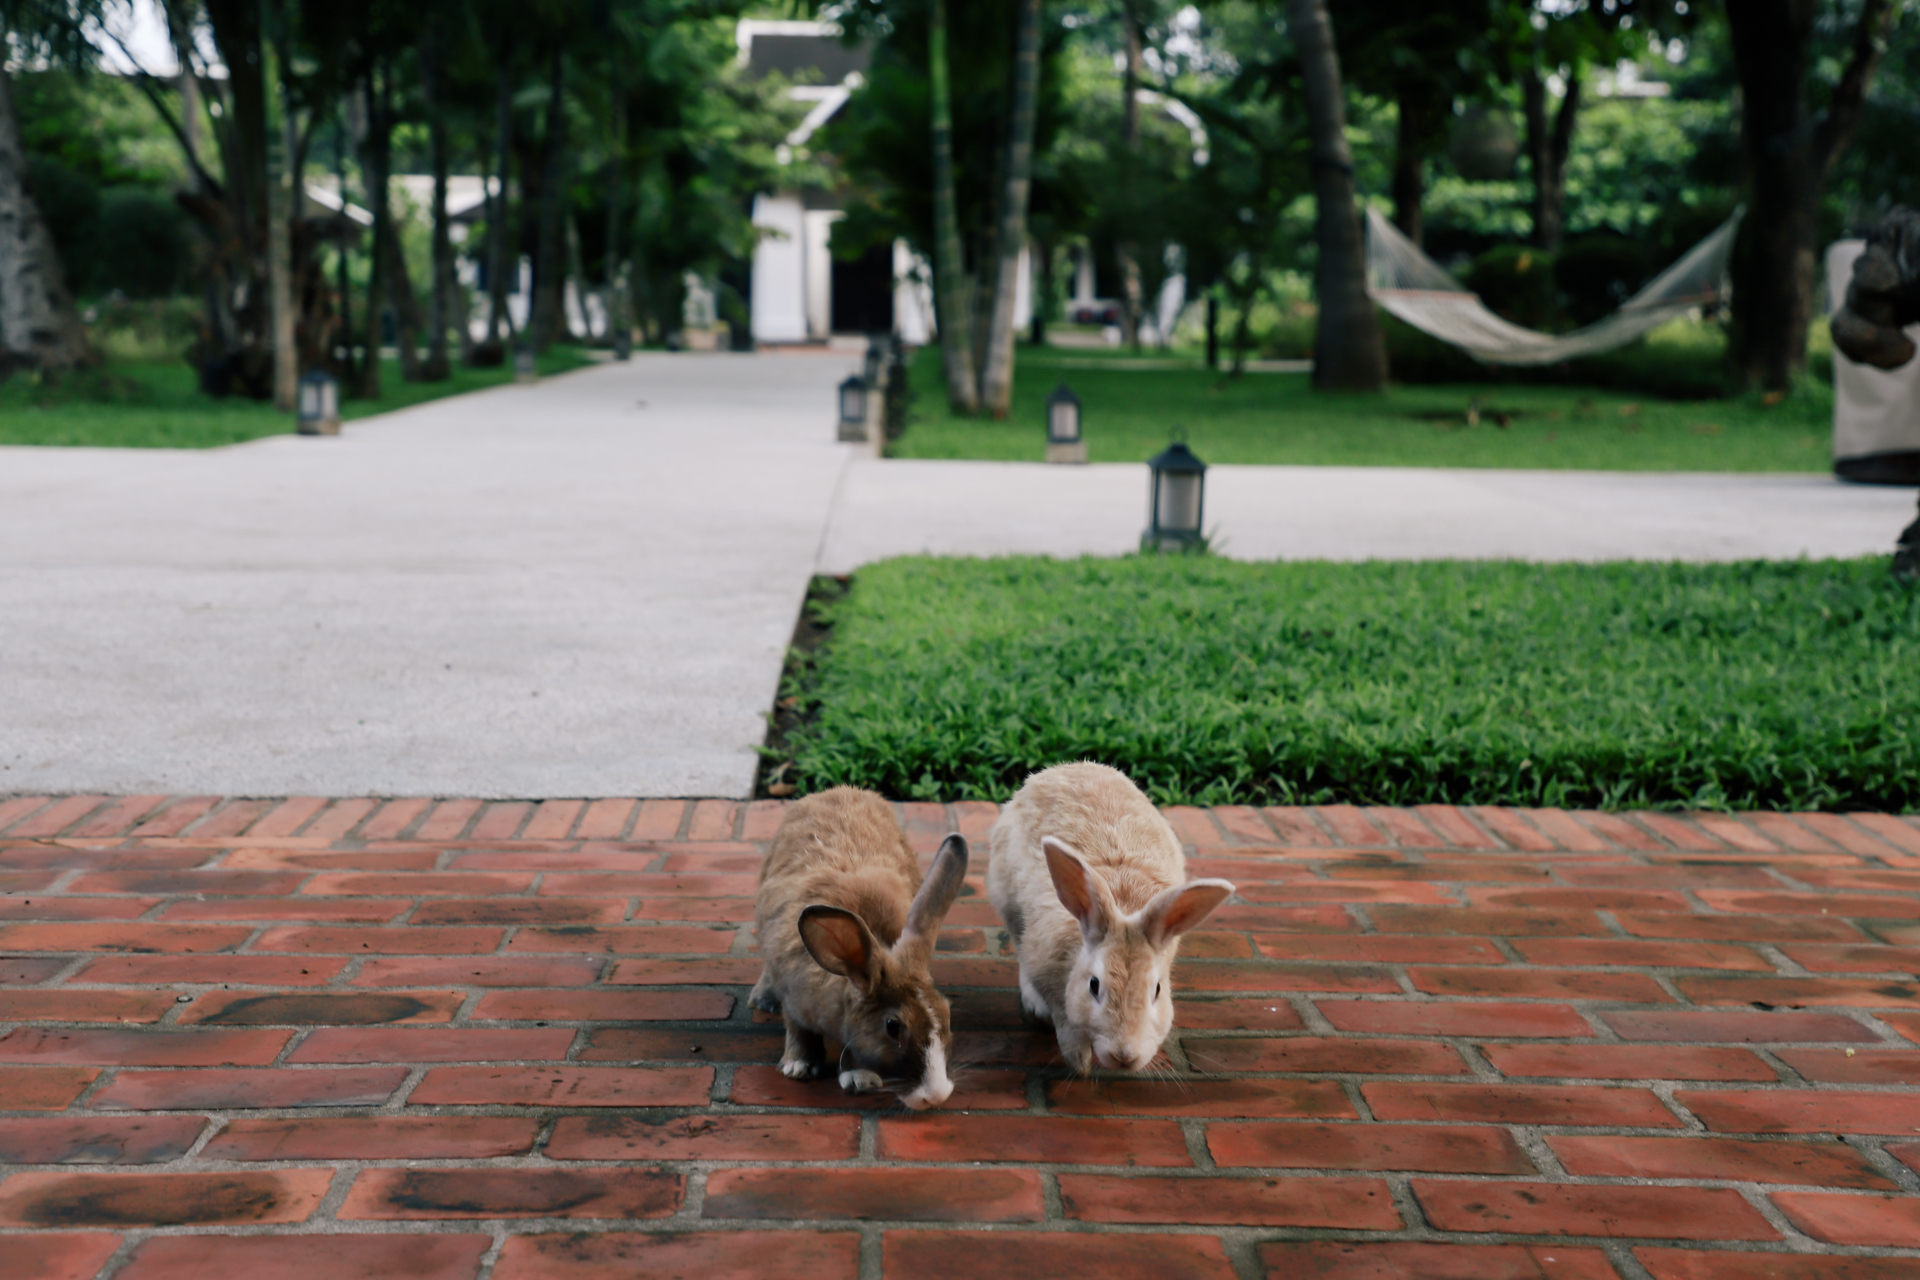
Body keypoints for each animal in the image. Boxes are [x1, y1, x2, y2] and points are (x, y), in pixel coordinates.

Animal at [744, 786, 967, 1105]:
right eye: (892, 1027)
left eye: (947, 1013)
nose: (936, 1095)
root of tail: (839, 790)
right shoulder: (793, 996)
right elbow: (798, 1030)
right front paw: (798, 1066)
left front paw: (859, 1078)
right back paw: (763, 999)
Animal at [983, 767, 1236, 1074]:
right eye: (1094, 985)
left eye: (1157, 990)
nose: (1124, 1057)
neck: (1123, 908)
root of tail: (1066, 766)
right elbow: (1066, 1024)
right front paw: (1080, 1063)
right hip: (1009, 904)